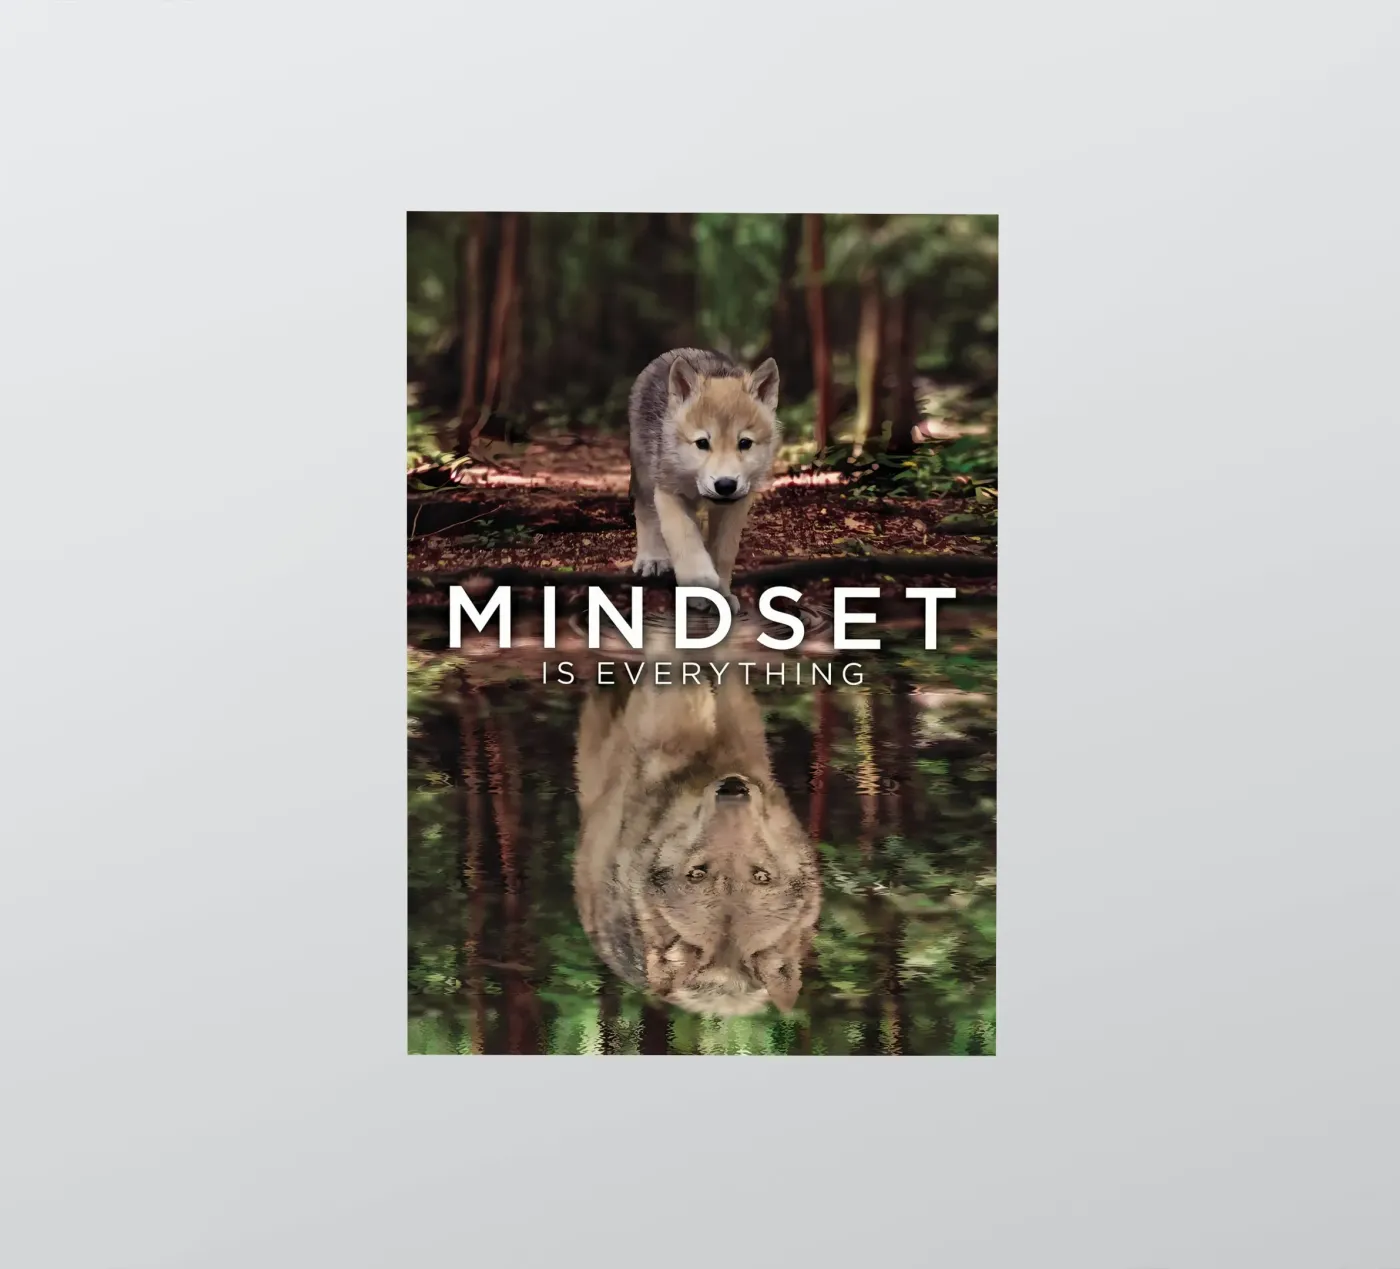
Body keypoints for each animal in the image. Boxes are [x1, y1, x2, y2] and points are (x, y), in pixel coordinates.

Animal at [628, 348, 781, 613]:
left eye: (745, 443)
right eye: (702, 443)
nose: (725, 485)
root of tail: (677, 352)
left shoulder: (737, 504)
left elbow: (723, 551)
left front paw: (721, 595)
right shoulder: (668, 492)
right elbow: (685, 538)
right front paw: (700, 582)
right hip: (646, 475)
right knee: (645, 511)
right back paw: (652, 559)